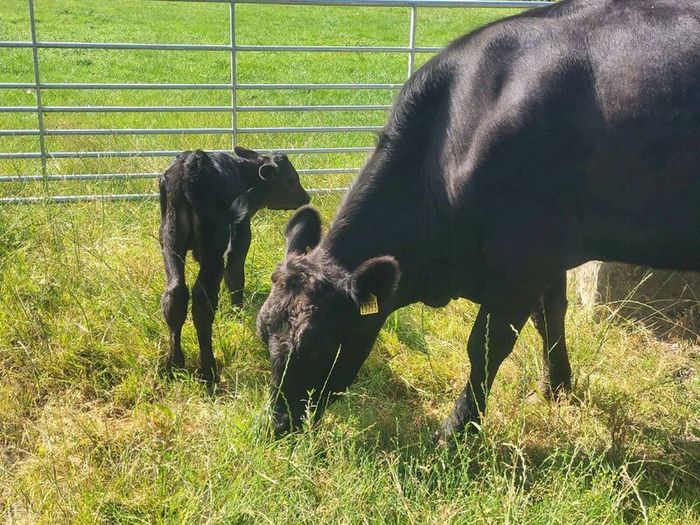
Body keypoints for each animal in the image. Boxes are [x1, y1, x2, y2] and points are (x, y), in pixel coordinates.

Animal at [159, 147, 310, 383]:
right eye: (293, 179)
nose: (306, 197)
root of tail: (192, 164)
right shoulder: (242, 233)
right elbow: (235, 274)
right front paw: (238, 310)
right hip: (213, 248)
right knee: (202, 299)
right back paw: (208, 370)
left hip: (170, 240)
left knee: (174, 294)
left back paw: (174, 364)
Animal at [256, 0, 700, 440]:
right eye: (263, 331)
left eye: (318, 344)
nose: (277, 423)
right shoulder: (548, 255)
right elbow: (550, 317)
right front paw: (556, 387)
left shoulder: (524, 259)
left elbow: (488, 345)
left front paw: (456, 431)